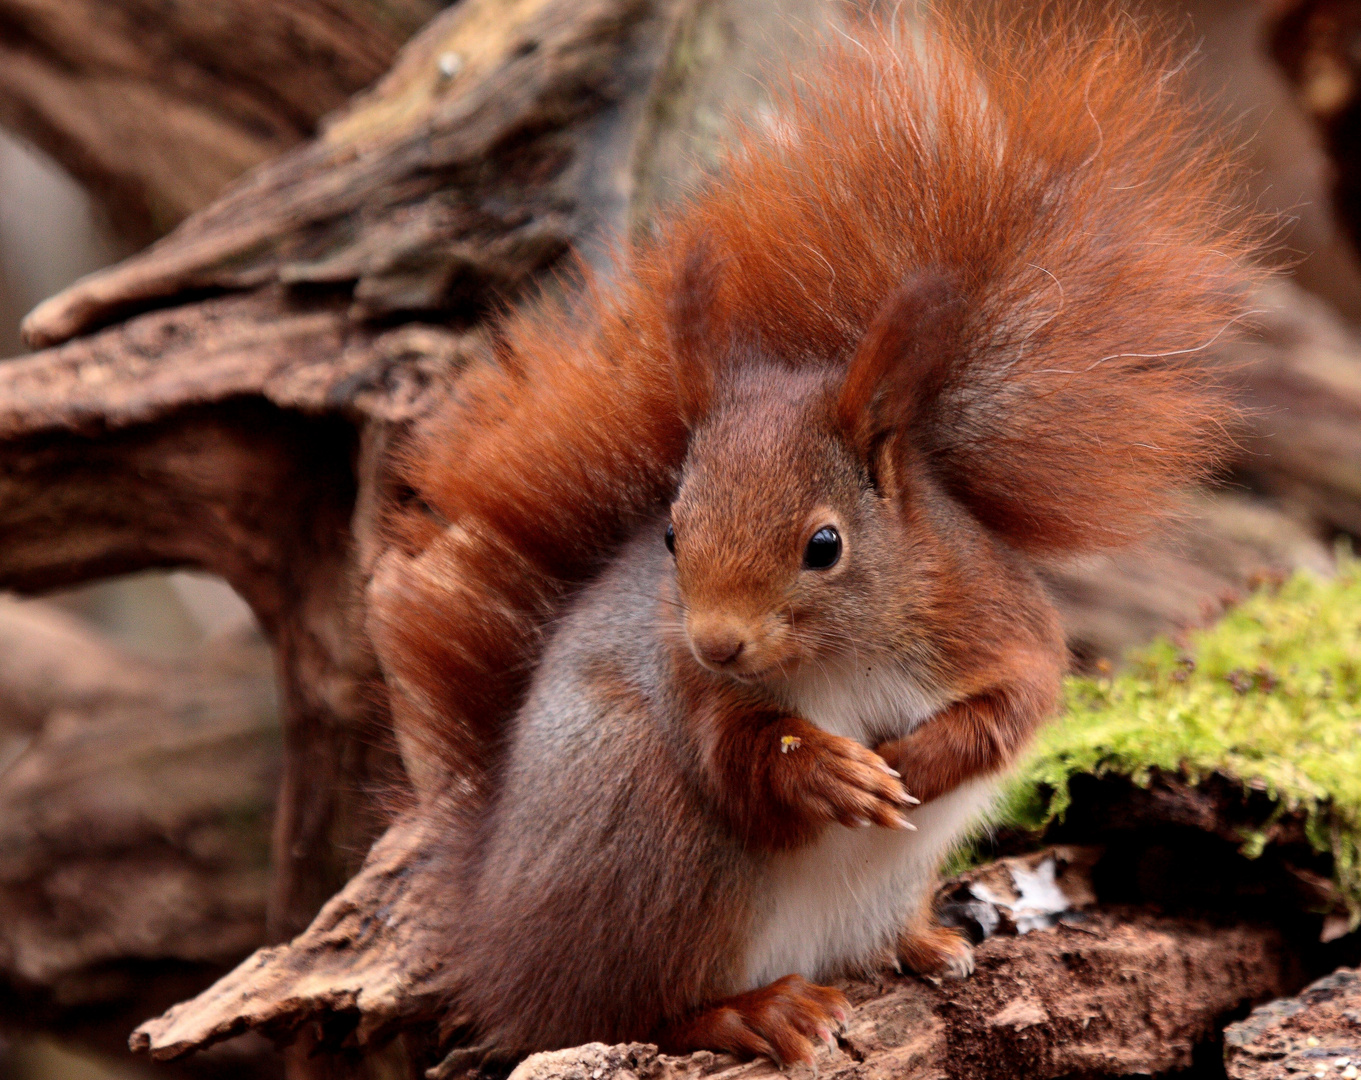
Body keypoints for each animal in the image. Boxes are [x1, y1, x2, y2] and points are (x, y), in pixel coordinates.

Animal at [367, 0, 1268, 1060]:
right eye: (669, 536)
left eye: (824, 545)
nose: (717, 642)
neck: (843, 653)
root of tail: (501, 950)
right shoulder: (692, 692)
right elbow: (741, 762)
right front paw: (831, 771)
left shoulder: (988, 614)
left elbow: (1014, 705)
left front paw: (913, 762)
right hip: (650, 835)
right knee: (638, 1008)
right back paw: (757, 1008)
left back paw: (925, 942)